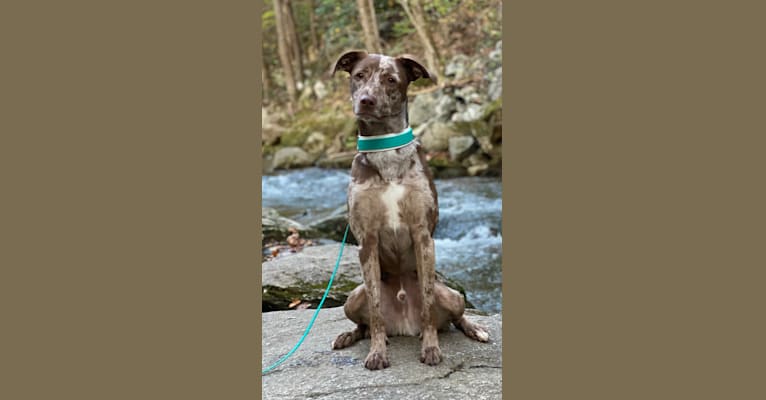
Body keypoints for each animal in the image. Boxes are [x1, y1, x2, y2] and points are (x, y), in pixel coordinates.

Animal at [332, 51, 492, 370]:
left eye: (391, 79)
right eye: (359, 75)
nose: (366, 100)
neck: (385, 151)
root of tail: (405, 326)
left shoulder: (423, 237)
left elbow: (428, 305)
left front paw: (431, 348)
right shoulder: (366, 242)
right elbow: (376, 314)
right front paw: (377, 352)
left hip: (453, 295)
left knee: (456, 317)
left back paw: (475, 329)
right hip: (351, 299)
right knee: (364, 323)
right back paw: (350, 336)